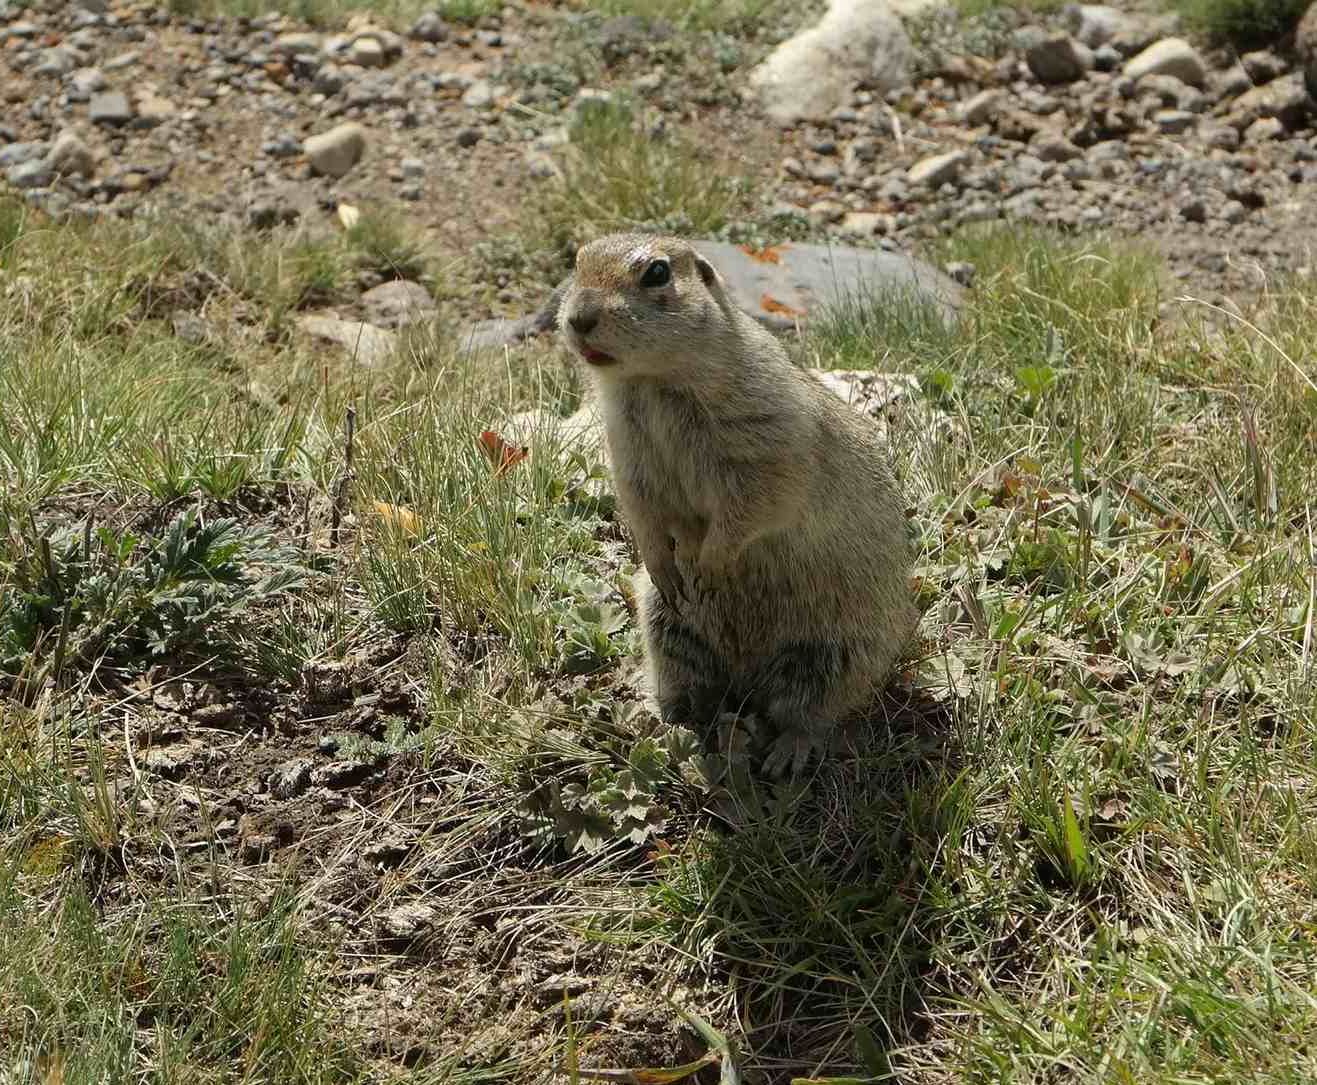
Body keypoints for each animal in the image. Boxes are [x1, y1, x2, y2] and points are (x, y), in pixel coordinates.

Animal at [561, 230, 921, 768]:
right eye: (577, 262)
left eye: (657, 273)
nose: (578, 318)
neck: (652, 382)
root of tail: (746, 674)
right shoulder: (628, 450)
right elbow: (642, 506)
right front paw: (665, 564)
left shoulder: (765, 435)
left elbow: (755, 499)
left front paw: (710, 564)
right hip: (667, 629)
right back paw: (670, 718)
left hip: (835, 648)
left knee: (811, 708)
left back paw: (787, 751)